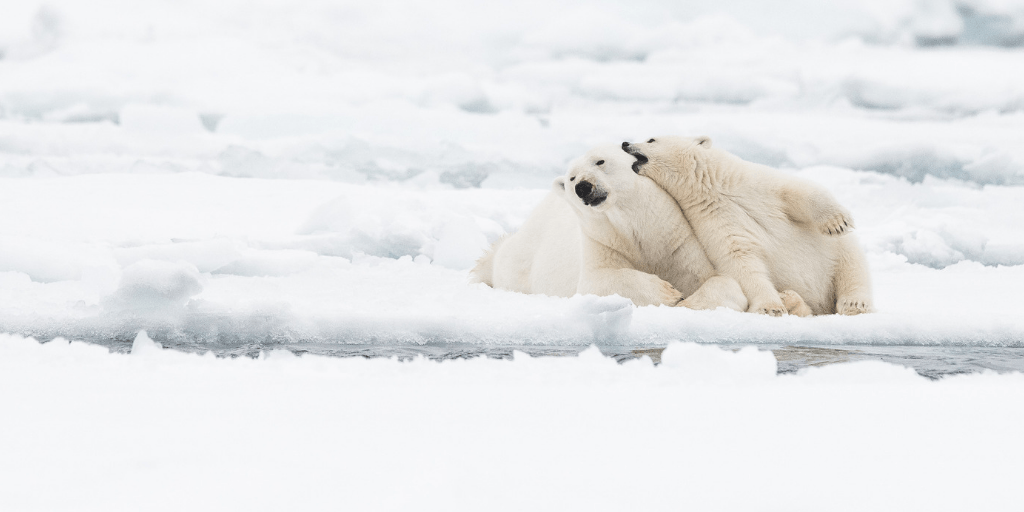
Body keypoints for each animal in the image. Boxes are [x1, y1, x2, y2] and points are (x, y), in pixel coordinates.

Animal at [471, 143, 813, 315]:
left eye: (600, 161)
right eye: (570, 178)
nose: (583, 187)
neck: (642, 230)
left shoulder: (682, 243)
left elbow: (723, 281)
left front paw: (686, 300)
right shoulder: (602, 242)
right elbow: (600, 282)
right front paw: (667, 292)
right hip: (522, 262)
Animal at [621, 135, 872, 316]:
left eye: (651, 139)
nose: (625, 143)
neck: (714, 187)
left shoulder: (756, 185)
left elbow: (798, 191)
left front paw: (837, 222)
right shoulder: (715, 219)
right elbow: (740, 260)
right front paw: (770, 306)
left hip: (836, 254)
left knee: (850, 262)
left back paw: (854, 303)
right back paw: (791, 300)